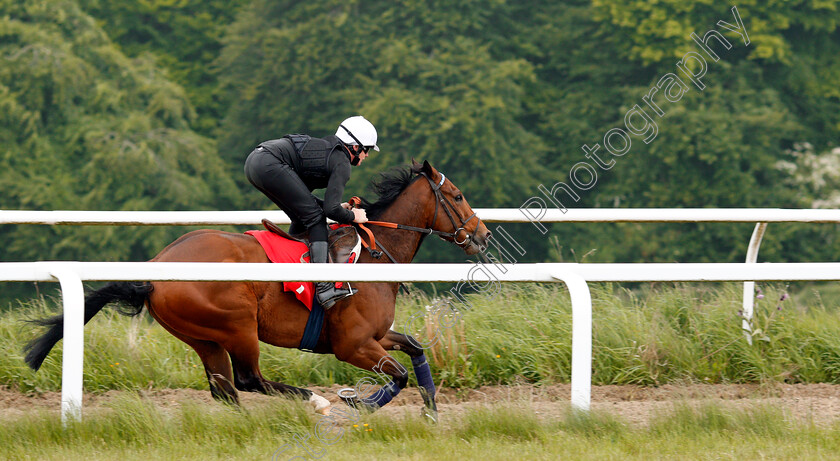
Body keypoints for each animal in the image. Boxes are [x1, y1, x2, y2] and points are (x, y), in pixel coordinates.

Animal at [24, 160, 492, 418]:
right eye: (457, 195)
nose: (483, 236)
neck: (374, 256)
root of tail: (154, 272)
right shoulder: (353, 344)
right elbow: (397, 376)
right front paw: (356, 403)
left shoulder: (377, 336)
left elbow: (414, 349)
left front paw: (432, 413)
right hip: (237, 326)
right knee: (249, 380)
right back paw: (314, 401)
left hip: (204, 338)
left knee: (225, 391)